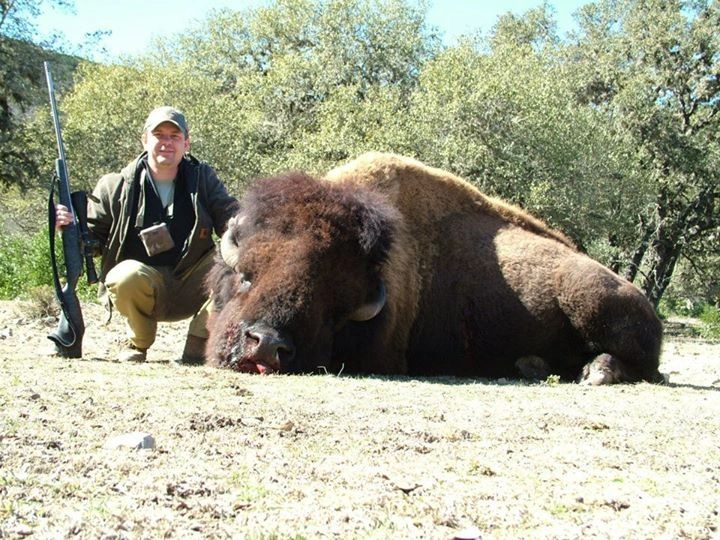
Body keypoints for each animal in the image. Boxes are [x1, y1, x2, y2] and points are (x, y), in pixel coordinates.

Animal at [206, 153, 664, 384]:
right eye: (245, 277)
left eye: (330, 312)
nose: (265, 345)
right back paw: (532, 366)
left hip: (591, 298)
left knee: (649, 368)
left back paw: (596, 372)